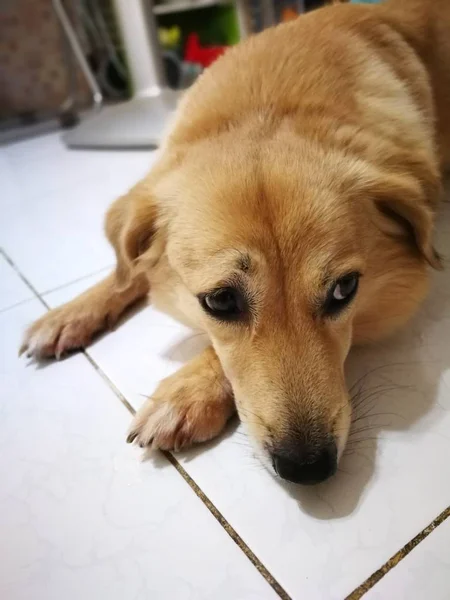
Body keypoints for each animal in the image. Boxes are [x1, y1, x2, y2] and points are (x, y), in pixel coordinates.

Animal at [22, 0, 450, 486]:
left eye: (345, 290)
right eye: (221, 301)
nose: (307, 469)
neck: (264, 104)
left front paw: (186, 392)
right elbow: (128, 269)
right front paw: (69, 313)